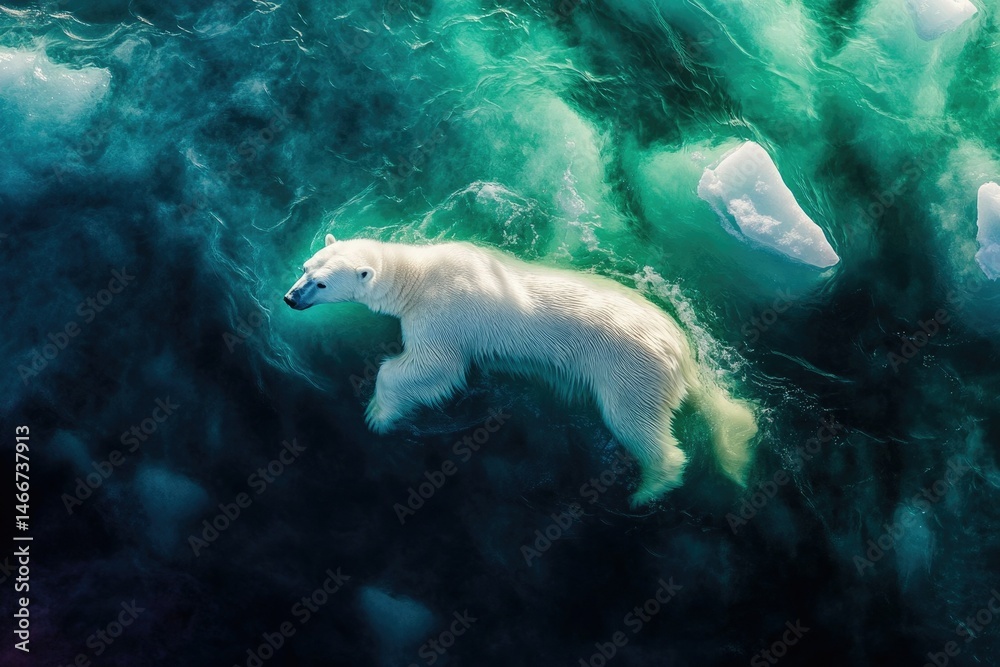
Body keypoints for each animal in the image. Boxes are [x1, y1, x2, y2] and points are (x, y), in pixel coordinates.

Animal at [285, 234, 758, 506]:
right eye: (306, 266)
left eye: (322, 283)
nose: (290, 298)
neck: (419, 275)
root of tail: (681, 351)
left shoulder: (444, 317)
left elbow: (433, 368)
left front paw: (378, 414)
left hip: (631, 370)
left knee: (636, 422)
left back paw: (649, 488)